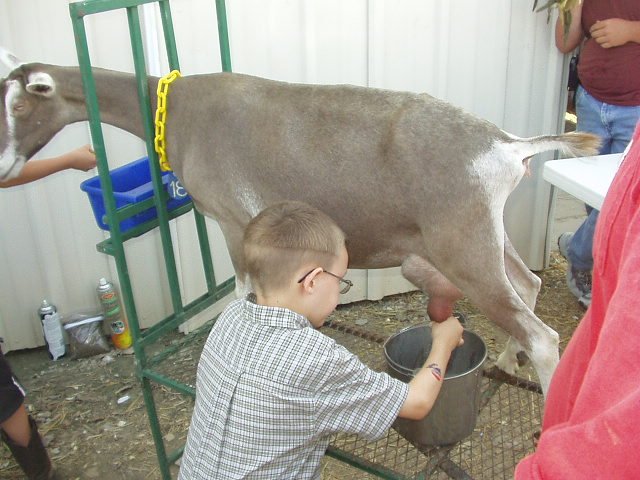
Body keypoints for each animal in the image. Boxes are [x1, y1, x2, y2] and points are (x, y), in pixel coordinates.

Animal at [0, 49, 600, 395]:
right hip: (484, 236)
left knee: (544, 334)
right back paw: (506, 360)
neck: (180, 109)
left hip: (464, 246)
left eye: (21, 106)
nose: (5, 165)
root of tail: (507, 146)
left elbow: (242, 294)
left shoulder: (233, 221)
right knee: (527, 283)